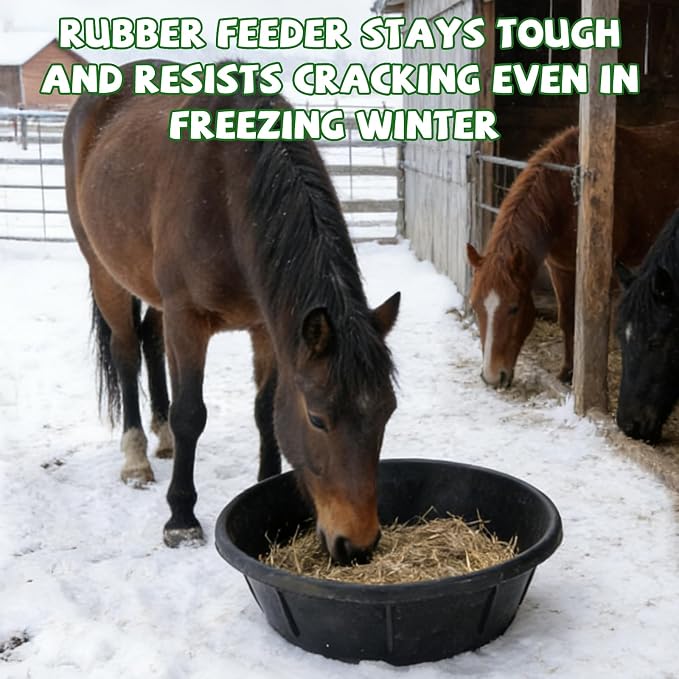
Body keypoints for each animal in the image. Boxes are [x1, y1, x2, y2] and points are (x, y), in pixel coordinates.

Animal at [63, 62, 401, 563]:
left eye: (386, 413)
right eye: (318, 419)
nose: (357, 545)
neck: (227, 192)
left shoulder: (268, 326)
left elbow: (265, 411)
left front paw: (265, 485)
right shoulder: (188, 318)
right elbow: (191, 413)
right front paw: (181, 519)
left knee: (150, 341)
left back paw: (162, 439)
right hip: (105, 274)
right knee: (125, 352)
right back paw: (137, 458)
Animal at [466, 121, 679, 388]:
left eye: (514, 308)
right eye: (475, 306)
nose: (493, 377)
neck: (565, 198)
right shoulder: (560, 268)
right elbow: (567, 318)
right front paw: (566, 372)